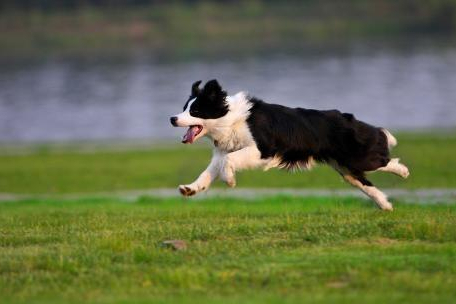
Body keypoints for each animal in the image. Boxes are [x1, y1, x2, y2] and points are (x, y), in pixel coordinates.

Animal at [170, 79, 410, 210]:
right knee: (365, 183)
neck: (230, 119)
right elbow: (208, 172)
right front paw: (190, 189)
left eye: (195, 111)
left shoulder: (263, 150)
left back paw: (403, 171)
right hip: (346, 169)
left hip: (357, 157)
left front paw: (230, 180)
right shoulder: (221, 153)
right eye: (184, 108)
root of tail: (349, 119)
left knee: (384, 154)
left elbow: (229, 161)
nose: (172, 118)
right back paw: (386, 205)